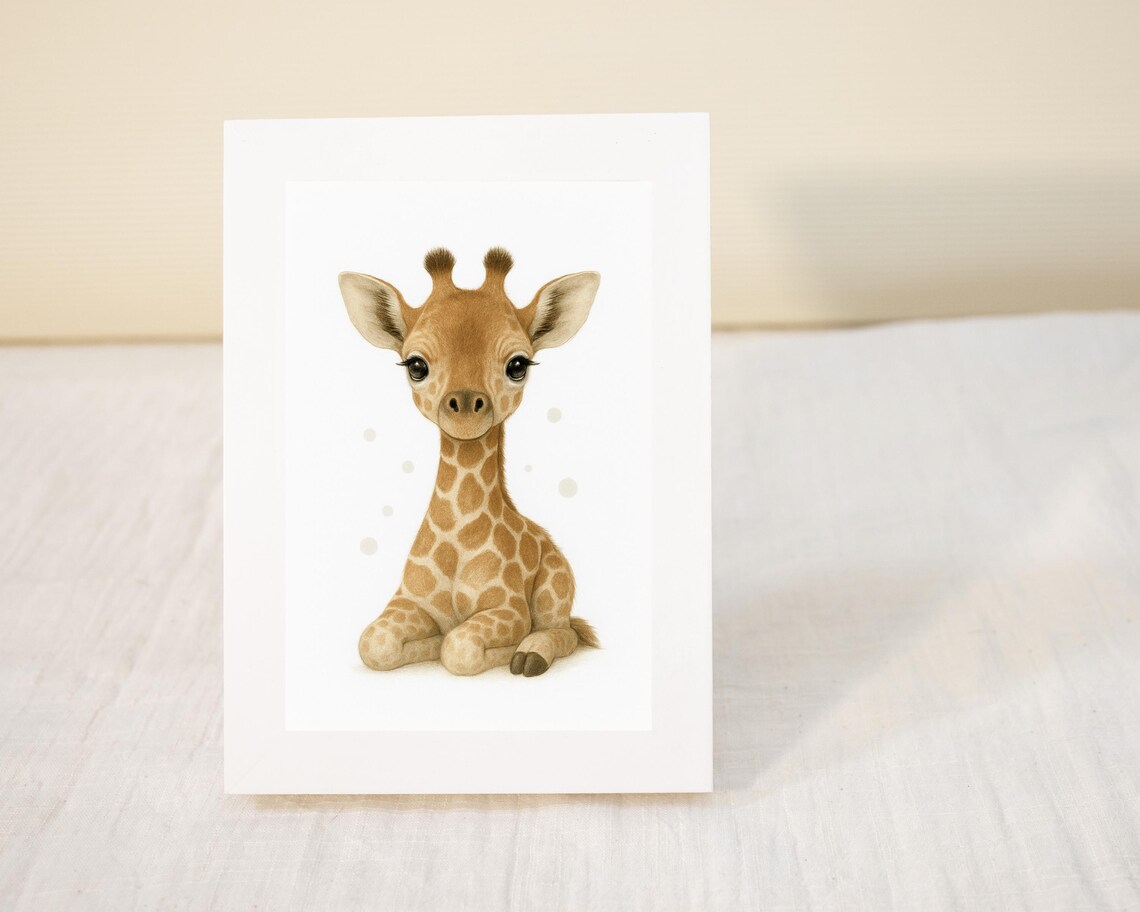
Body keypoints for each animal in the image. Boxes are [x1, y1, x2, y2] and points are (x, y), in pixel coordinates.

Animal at [338, 247, 601, 677]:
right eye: (415, 365)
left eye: (518, 365)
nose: (464, 406)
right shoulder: (407, 600)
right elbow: (374, 643)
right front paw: (425, 644)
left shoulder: (510, 609)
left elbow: (459, 649)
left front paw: (505, 652)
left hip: (555, 590)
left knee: (569, 631)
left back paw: (531, 654)